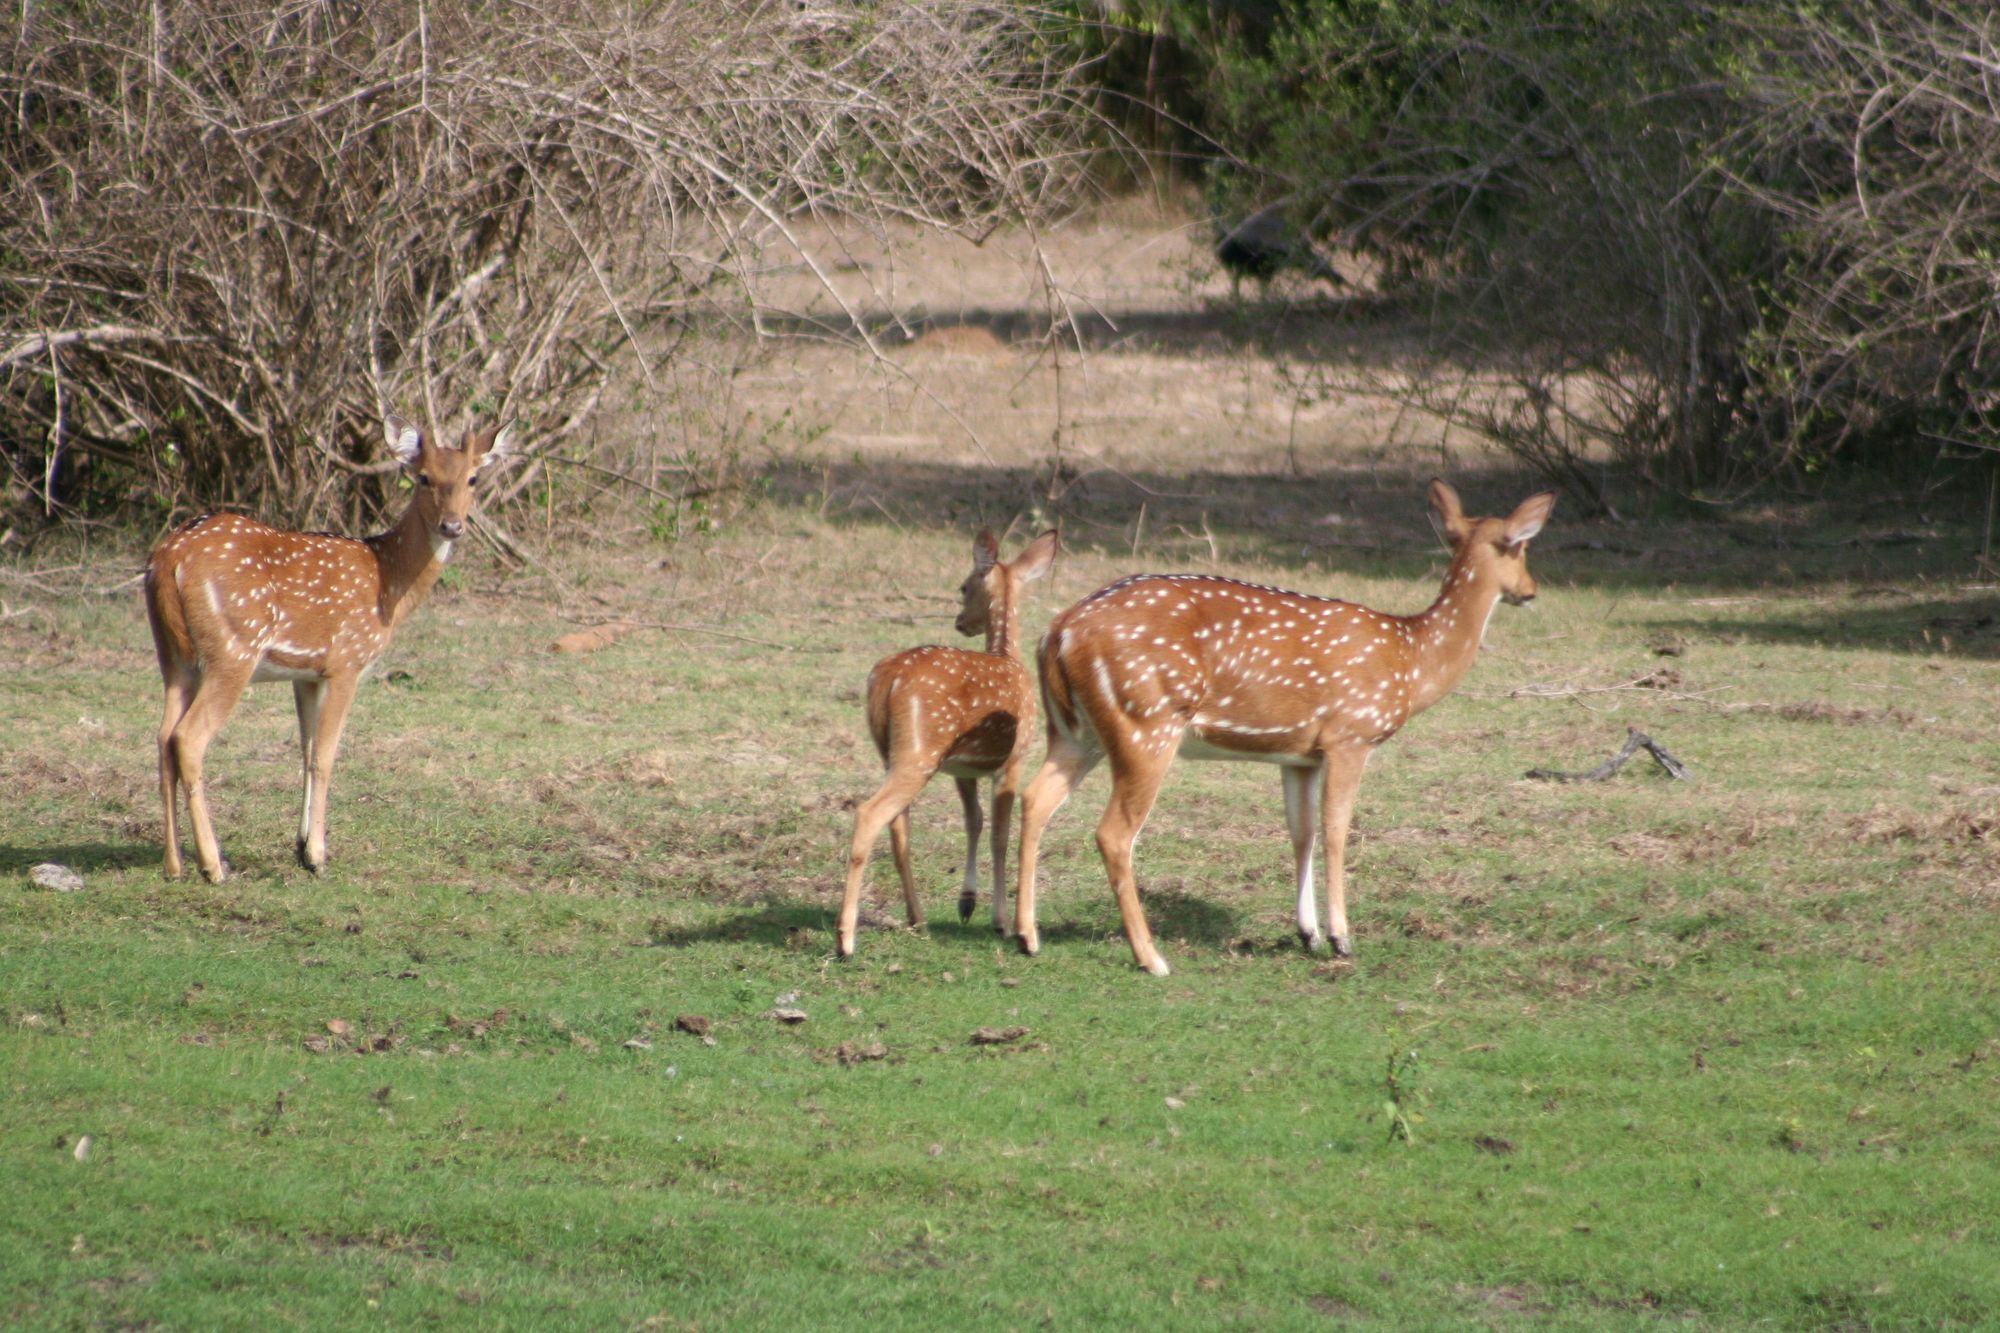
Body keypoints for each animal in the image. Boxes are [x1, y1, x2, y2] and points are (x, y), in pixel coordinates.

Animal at [145, 410, 520, 876]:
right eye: (423, 478)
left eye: (472, 478)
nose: (452, 525)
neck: (388, 583)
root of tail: (168, 559)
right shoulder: (347, 660)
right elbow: (325, 756)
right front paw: (319, 856)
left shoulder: (306, 673)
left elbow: (305, 752)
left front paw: (301, 845)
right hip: (233, 648)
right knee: (188, 738)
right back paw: (214, 866)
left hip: (173, 656)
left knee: (162, 738)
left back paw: (173, 863)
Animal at [836, 524, 1064, 948]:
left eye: (962, 587)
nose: (961, 621)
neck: (1008, 656)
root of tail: (885, 678)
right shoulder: (1014, 759)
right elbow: (999, 834)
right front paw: (1000, 920)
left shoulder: (963, 768)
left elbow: (974, 821)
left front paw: (967, 902)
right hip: (921, 750)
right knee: (870, 813)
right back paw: (845, 939)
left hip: (894, 752)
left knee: (899, 827)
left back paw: (918, 918)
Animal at [1008, 478, 1552, 964]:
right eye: (1521, 547)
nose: (1531, 590)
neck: (1413, 660)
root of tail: (1058, 632)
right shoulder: (1351, 734)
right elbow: (1336, 829)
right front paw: (1341, 938)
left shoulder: (1300, 755)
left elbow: (1300, 830)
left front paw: (1307, 933)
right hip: (1147, 721)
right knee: (1114, 833)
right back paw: (1150, 957)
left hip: (1076, 732)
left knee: (1034, 799)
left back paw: (1026, 935)